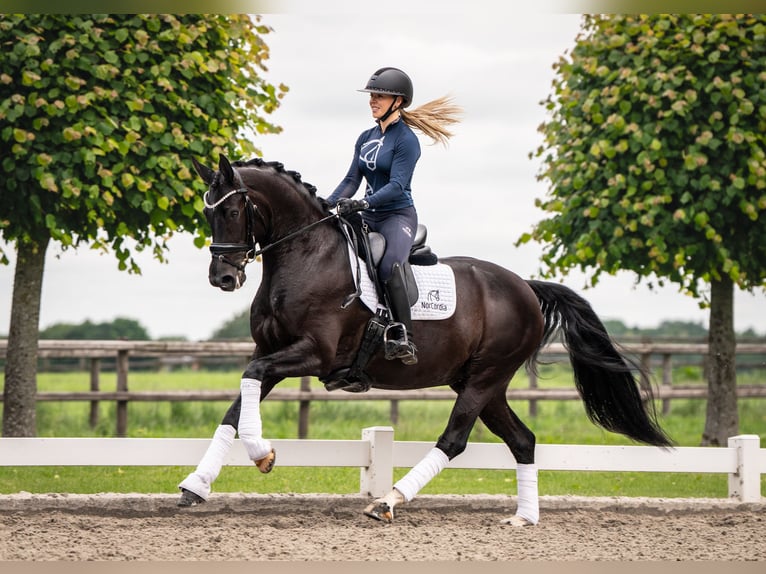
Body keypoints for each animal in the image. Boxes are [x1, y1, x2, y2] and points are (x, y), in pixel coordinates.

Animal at [177, 154, 672, 526]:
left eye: (232, 211)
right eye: (206, 212)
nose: (223, 278)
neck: (306, 255)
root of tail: (526, 288)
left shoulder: (312, 355)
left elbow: (251, 378)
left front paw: (262, 454)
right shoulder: (271, 351)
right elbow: (236, 407)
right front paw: (196, 485)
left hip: (484, 379)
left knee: (454, 440)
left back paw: (387, 502)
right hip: (482, 383)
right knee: (523, 440)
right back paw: (523, 518)